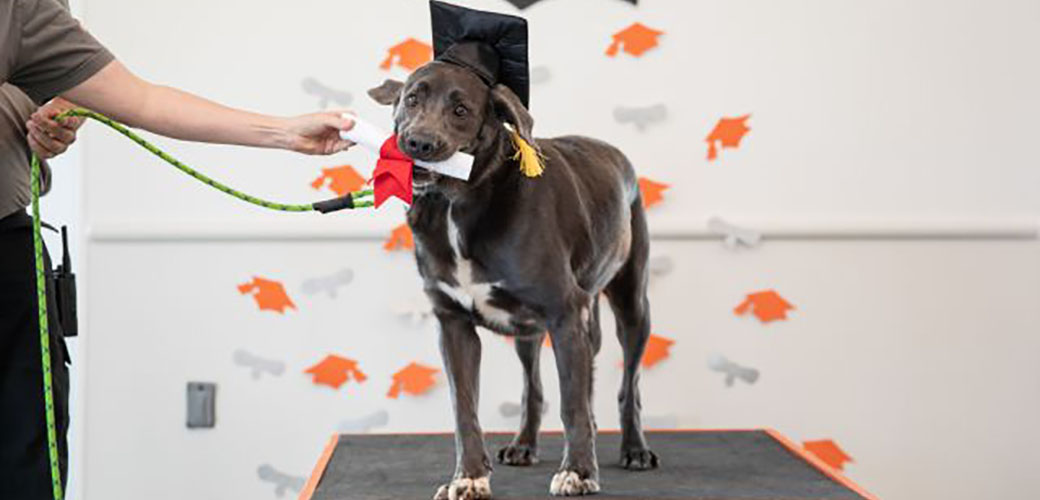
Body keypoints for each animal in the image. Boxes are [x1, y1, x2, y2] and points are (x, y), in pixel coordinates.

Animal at [370, 59, 653, 498]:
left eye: (461, 110)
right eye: (412, 98)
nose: (418, 143)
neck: (456, 205)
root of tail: (612, 151)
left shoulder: (565, 315)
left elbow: (573, 405)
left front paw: (579, 472)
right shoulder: (453, 325)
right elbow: (464, 409)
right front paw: (468, 476)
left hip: (632, 306)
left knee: (629, 385)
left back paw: (634, 448)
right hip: (528, 332)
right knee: (533, 387)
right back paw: (524, 444)